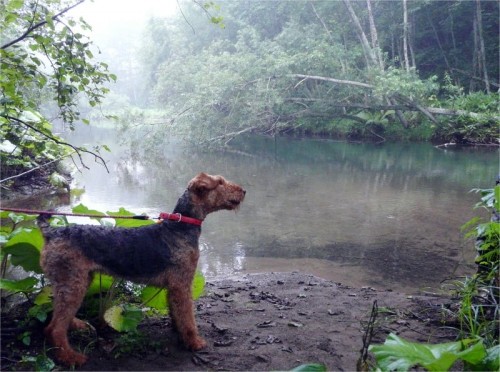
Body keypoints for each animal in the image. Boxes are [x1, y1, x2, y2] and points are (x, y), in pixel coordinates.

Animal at [38, 173, 245, 364]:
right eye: (220, 182)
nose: (243, 191)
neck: (179, 228)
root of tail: (52, 232)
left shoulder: (174, 287)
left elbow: (177, 314)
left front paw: (178, 333)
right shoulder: (182, 285)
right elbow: (188, 318)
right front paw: (194, 342)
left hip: (79, 280)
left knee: (59, 316)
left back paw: (77, 326)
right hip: (73, 283)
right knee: (54, 328)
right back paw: (71, 357)